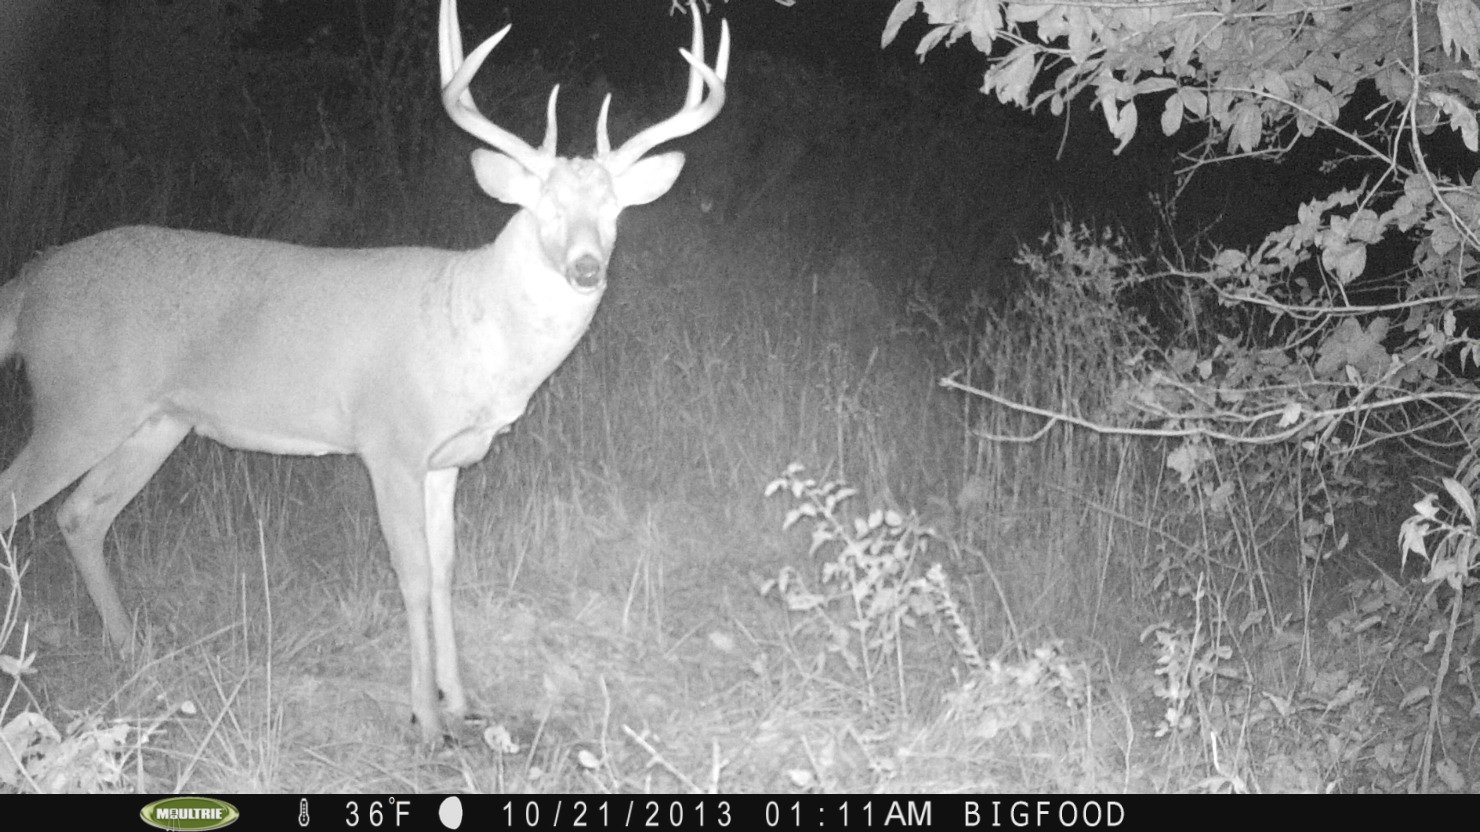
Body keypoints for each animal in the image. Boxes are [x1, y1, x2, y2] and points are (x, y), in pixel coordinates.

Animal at [0, 0, 728, 744]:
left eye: (613, 210)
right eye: (542, 207)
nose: (586, 268)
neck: (471, 326)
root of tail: (26, 287)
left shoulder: (446, 461)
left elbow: (444, 571)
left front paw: (463, 703)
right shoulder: (390, 444)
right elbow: (411, 574)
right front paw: (427, 720)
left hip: (156, 422)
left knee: (81, 514)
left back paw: (132, 650)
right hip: (79, 401)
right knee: (18, 500)